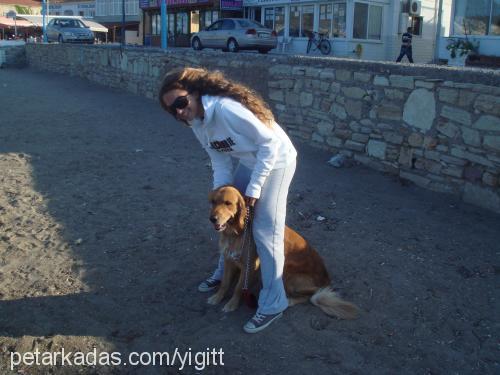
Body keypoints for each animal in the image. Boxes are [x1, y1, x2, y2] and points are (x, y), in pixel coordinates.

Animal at [205, 185, 358, 320]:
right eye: (213, 202)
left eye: (228, 203)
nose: (212, 219)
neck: (236, 233)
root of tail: (326, 279)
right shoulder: (228, 259)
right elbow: (225, 282)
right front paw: (217, 297)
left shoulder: (249, 265)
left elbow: (238, 287)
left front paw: (232, 304)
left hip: (285, 271)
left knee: (311, 296)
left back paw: (289, 301)